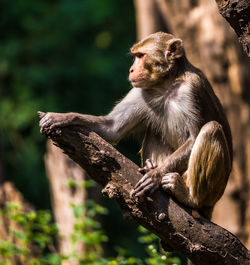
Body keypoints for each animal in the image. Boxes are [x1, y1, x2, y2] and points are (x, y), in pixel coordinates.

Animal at [38, 32, 232, 220]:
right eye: (135, 56)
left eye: (140, 56)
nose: (131, 69)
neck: (166, 85)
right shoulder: (141, 92)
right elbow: (112, 129)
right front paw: (63, 117)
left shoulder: (191, 89)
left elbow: (193, 138)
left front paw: (155, 175)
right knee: (154, 130)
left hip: (213, 192)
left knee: (211, 128)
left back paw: (189, 197)